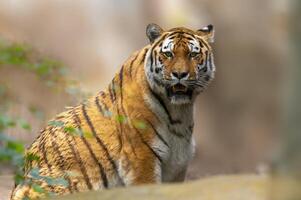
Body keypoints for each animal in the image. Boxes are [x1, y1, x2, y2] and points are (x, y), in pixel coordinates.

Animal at [10, 22, 214, 199]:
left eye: (193, 55)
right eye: (169, 54)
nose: (179, 74)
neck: (179, 112)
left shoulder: (177, 166)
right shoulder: (141, 158)